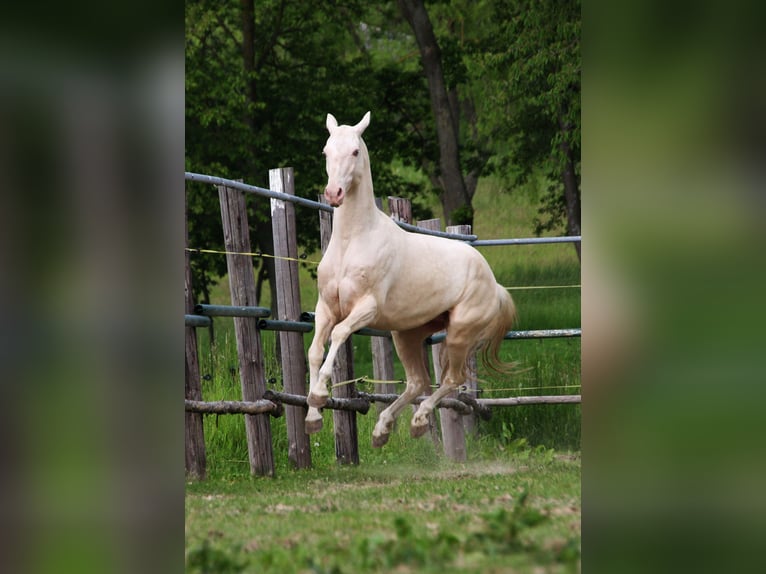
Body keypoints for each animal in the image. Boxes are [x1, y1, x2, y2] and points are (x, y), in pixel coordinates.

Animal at [304, 110, 516, 448]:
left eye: (355, 151)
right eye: (325, 151)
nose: (333, 193)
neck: (353, 241)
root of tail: (495, 285)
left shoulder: (366, 309)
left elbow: (338, 335)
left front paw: (321, 393)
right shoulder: (325, 307)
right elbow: (314, 350)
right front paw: (313, 414)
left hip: (459, 333)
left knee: (451, 379)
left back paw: (418, 421)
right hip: (407, 335)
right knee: (417, 382)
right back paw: (382, 430)